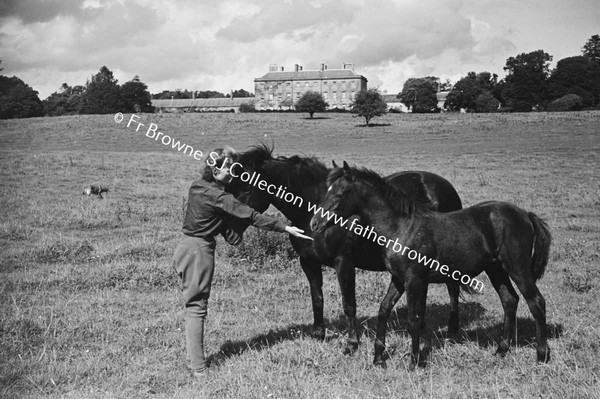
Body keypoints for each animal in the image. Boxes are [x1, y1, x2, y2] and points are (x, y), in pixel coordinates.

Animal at [231, 145, 464, 354]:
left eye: (245, 189)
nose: (229, 232)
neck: (312, 208)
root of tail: (444, 185)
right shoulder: (308, 262)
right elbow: (317, 299)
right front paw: (319, 335)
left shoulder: (344, 263)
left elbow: (349, 304)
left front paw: (352, 344)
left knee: (453, 288)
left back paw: (453, 329)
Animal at [312, 162, 552, 368]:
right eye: (326, 190)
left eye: (339, 194)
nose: (314, 223)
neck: (401, 228)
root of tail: (525, 214)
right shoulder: (398, 278)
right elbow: (384, 309)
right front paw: (379, 359)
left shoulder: (414, 280)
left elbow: (413, 319)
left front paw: (414, 362)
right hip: (496, 269)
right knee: (509, 300)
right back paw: (502, 349)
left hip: (517, 268)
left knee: (536, 302)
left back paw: (542, 355)